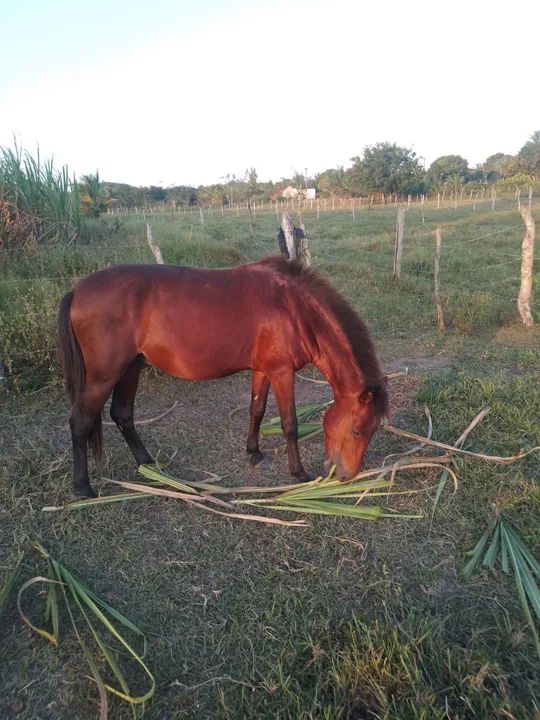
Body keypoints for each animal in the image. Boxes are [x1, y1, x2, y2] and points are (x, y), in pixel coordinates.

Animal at [58, 256, 389, 497]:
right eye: (358, 430)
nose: (346, 476)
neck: (295, 309)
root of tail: (77, 290)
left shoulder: (263, 369)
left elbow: (257, 410)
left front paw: (254, 452)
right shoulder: (282, 372)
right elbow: (290, 424)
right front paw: (299, 472)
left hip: (130, 368)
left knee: (122, 414)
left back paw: (149, 465)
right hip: (105, 374)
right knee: (81, 421)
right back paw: (83, 488)